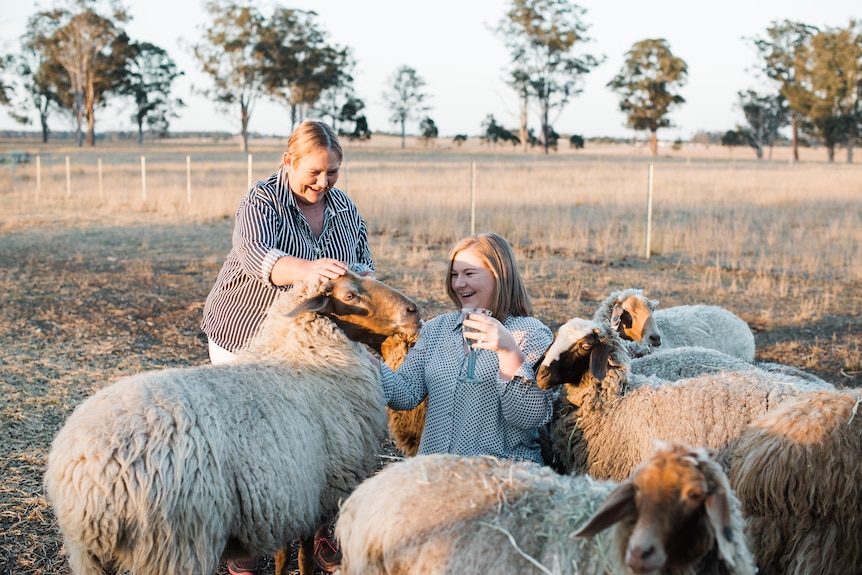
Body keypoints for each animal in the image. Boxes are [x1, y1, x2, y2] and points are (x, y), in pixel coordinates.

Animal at [43, 272, 422, 575]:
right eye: (350, 296)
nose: (414, 310)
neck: (307, 358)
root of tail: (83, 480)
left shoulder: (284, 497)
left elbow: (283, 557)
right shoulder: (315, 494)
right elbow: (303, 560)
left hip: (91, 558)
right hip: (174, 547)